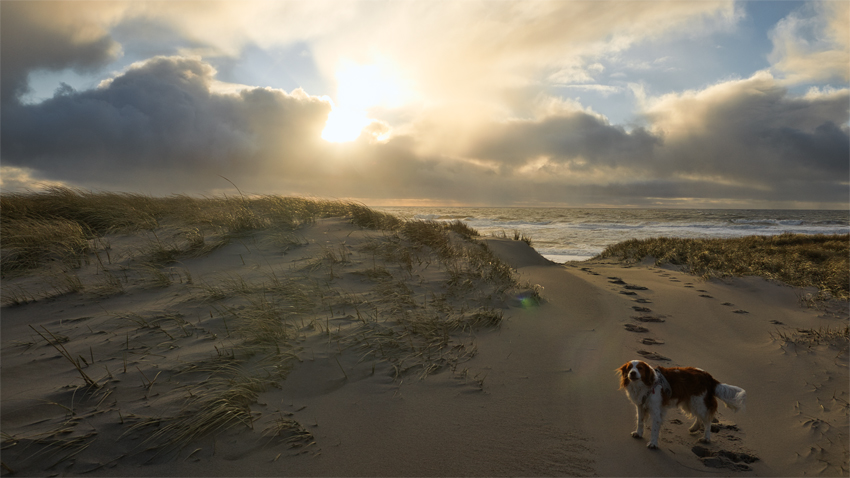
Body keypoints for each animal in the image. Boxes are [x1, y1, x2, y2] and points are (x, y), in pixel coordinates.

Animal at [612, 360, 744, 450]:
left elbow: (654, 428)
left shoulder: (656, 410)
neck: (644, 385)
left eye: (639, 368)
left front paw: (653, 443)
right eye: (629, 368)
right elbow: (640, 421)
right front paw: (638, 433)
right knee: (700, 417)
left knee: (707, 420)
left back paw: (706, 438)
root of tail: (708, 376)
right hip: (690, 402)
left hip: (698, 402)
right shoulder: (640, 406)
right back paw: (694, 427)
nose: (632, 373)